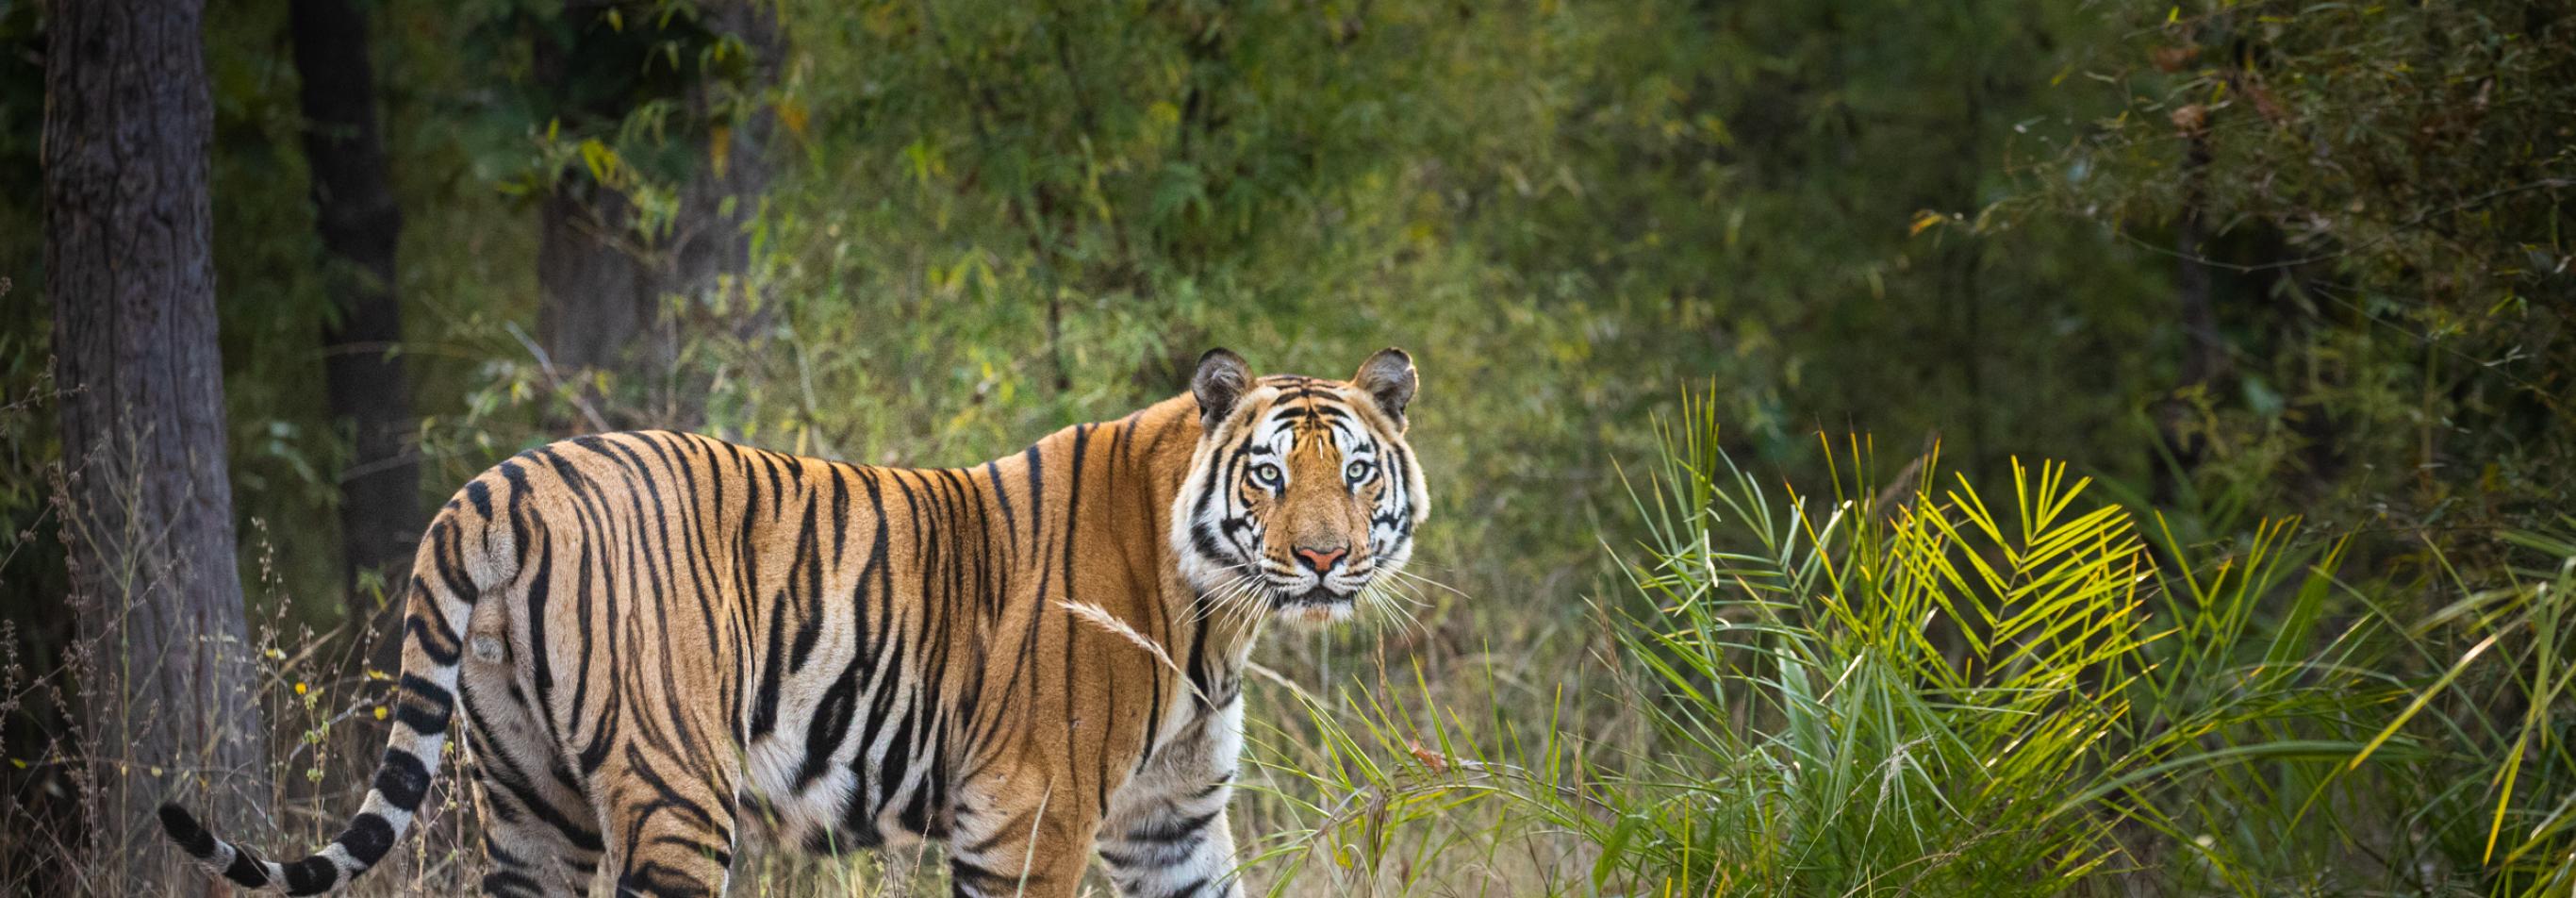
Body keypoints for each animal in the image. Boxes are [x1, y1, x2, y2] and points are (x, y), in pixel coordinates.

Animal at [160, 348, 1431, 898]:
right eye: (1268, 476)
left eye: (1355, 471)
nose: (1321, 556)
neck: (1217, 617)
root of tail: (500, 483)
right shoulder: (1032, 814)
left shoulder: (1171, 823)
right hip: (673, 785)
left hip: (527, 796)